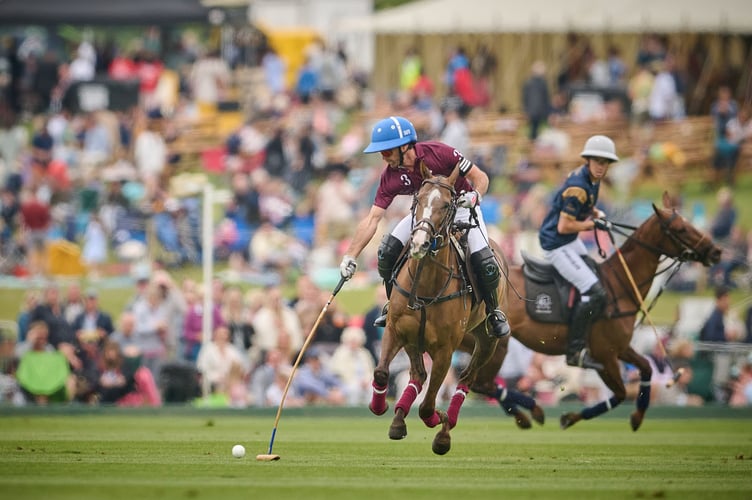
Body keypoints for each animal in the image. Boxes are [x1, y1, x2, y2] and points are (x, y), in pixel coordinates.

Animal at [368, 164, 506, 454]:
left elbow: (428, 406)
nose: (419, 243)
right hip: (414, 340)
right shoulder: (396, 330)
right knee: (418, 374)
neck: (427, 285)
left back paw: (447, 424)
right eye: (417, 200)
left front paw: (440, 423)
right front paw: (380, 406)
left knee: (466, 378)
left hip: (486, 339)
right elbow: (382, 371)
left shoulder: (445, 350)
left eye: (446, 204)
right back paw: (398, 417)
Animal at [464, 191, 724, 430]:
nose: (717, 251)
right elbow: (620, 393)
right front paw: (570, 418)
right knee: (482, 383)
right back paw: (533, 411)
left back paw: (524, 415)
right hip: (499, 343)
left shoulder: (620, 347)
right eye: (681, 229)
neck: (620, 286)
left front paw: (637, 417)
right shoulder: (604, 354)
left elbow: (646, 368)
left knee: (479, 381)